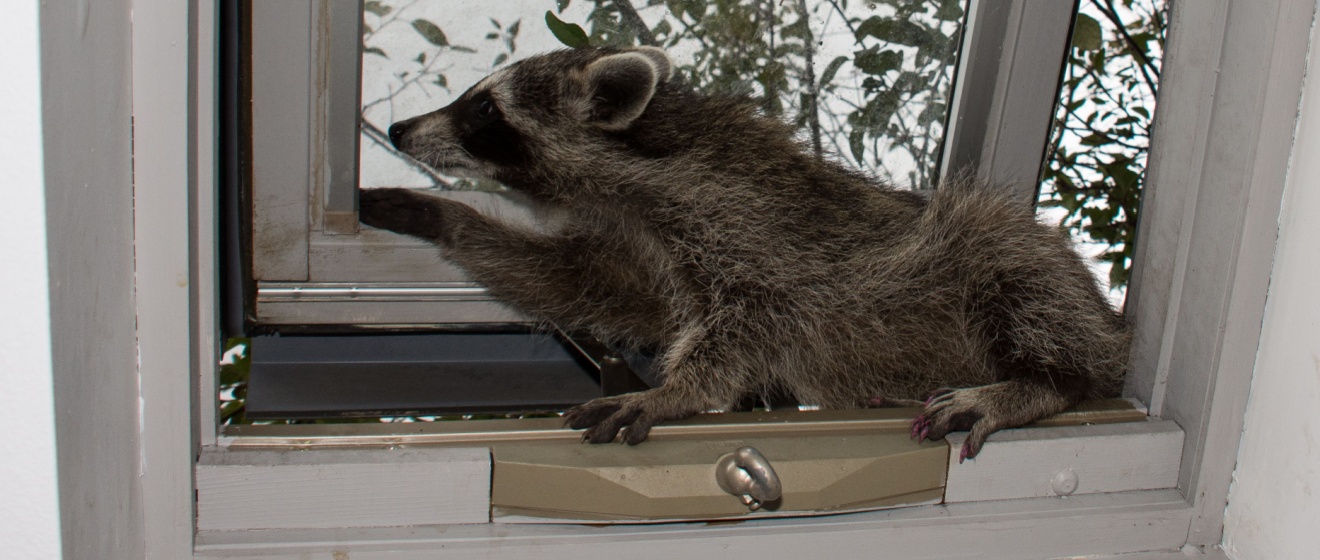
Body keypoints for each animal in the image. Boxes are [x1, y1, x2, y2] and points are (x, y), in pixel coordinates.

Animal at [359, 46, 1130, 459]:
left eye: (483, 110)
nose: (399, 131)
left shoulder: (749, 228)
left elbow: (751, 321)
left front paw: (674, 390)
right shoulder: (645, 249)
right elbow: (577, 280)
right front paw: (444, 217)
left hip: (1012, 261)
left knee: (1011, 260)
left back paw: (1045, 380)